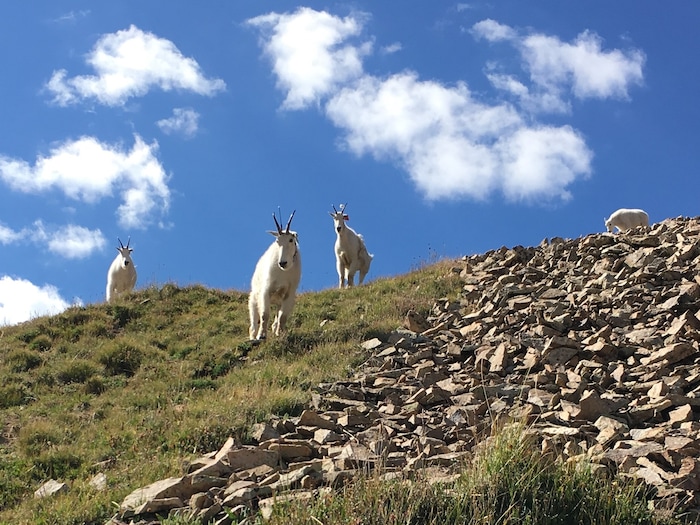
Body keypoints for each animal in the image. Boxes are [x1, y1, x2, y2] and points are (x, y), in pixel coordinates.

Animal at [249, 211, 302, 340]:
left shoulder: (289, 294)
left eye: (291, 240)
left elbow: (282, 317)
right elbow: (264, 315)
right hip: (254, 298)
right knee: (253, 324)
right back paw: (253, 336)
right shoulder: (266, 291)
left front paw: (280, 334)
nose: (282, 263)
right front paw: (261, 335)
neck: (284, 272)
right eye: (278, 241)